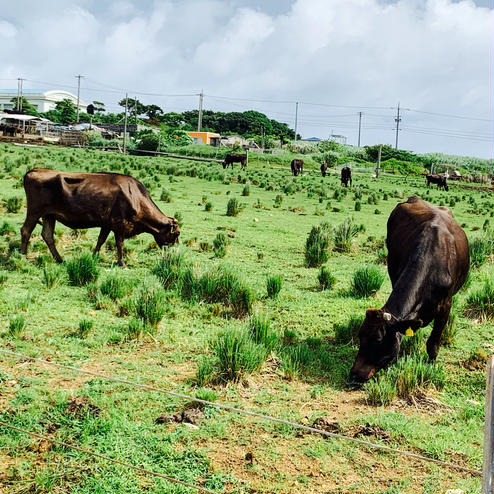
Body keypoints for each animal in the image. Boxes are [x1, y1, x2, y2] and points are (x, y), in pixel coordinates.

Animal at [21, 171, 180, 270]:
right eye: (176, 234)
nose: (173, 253)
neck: (135, 196)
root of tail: (34, 170)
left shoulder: (107, 224)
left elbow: (100, 240)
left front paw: (93, 256)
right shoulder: (119, 224)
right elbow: (119, 244)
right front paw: (122, 263)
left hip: (49, 215)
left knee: (47, 235)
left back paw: (59, 259)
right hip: (34, 212)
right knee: (26, 230)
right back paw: (22, 256)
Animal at [350, 196, 468, 382]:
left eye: (378, 340)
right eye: (360, 336)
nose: (354, 374)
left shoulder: (446, 306)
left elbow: (433, 344)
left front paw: (431, 365)